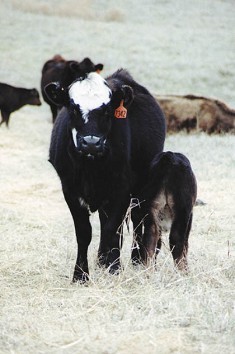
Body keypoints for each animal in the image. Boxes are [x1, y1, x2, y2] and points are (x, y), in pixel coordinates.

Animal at [44, 68, 165, 282]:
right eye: (73, 108)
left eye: (107, 110)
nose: (91, 142)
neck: (90, 167)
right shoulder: (69, 189)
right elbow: (84, 232)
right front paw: (80, 275)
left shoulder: (122, 189)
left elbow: (112, 229)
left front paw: (114, 268)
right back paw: (101, 260)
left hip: (141, 187)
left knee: (136, 219)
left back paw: (134, 259)